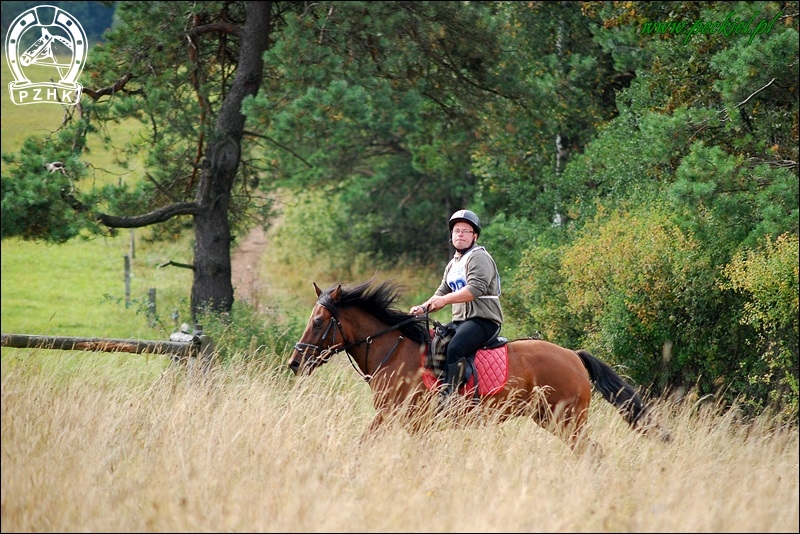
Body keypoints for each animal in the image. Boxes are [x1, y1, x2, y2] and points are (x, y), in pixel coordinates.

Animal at [288, 280, 668, 452]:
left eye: (319, 322)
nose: (295, 362)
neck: (394, 352)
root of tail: (574, 356)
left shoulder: (405, 420)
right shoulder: (393, 419)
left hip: (567, 419)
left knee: (591, 451)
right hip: (549, 419)